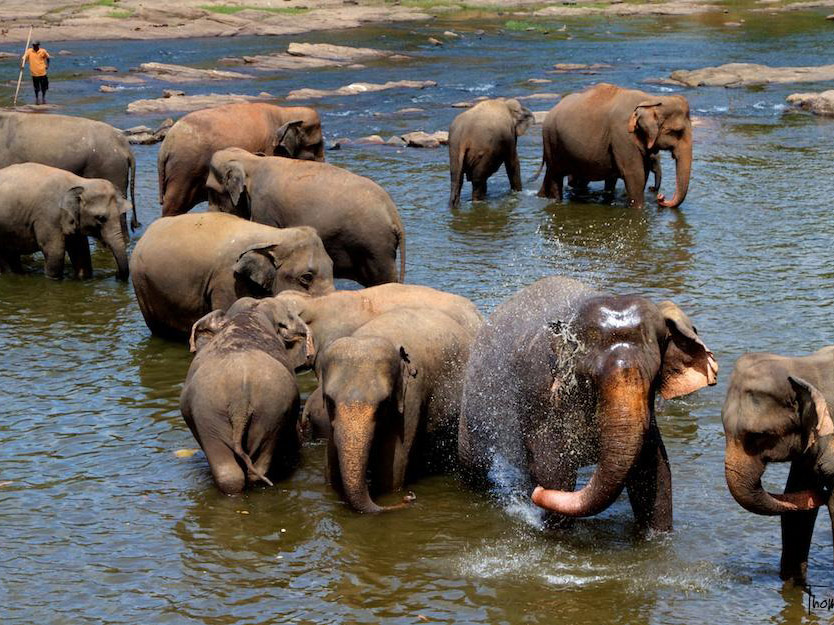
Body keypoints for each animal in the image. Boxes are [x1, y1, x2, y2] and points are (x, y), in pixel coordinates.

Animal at [0, 163, 130, 280]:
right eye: (101, 218)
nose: (116, 275)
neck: (81, 182)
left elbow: (81, 252)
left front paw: (83, 277)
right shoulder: (48, 217)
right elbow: (55, 252)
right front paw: (54, 279)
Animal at [158, 103, 324, 216]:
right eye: (315, 146)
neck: (286, 112)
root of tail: (166, 144)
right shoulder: (270, 148)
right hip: (184, 170)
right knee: (174, 206)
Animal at [319, 307, 475, 512]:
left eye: (384, 404)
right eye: (330, 402)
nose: (410, 497)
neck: (370, 334)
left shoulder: (412, 394)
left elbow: (393, 464)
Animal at [458, 276, 718, 531]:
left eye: (653, 377)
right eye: (590, 377)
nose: (536, 493)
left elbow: (654, 472)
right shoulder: (538, 391)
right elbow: (553, 471)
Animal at [537, 83, 692, 209]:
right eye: (677, 132)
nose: (661, 197)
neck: (650, 99)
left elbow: (641, 173)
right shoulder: (623, 136)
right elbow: (635, 175)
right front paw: (639, 209)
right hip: (551, 141)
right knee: (556, 175)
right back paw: (557, 201)